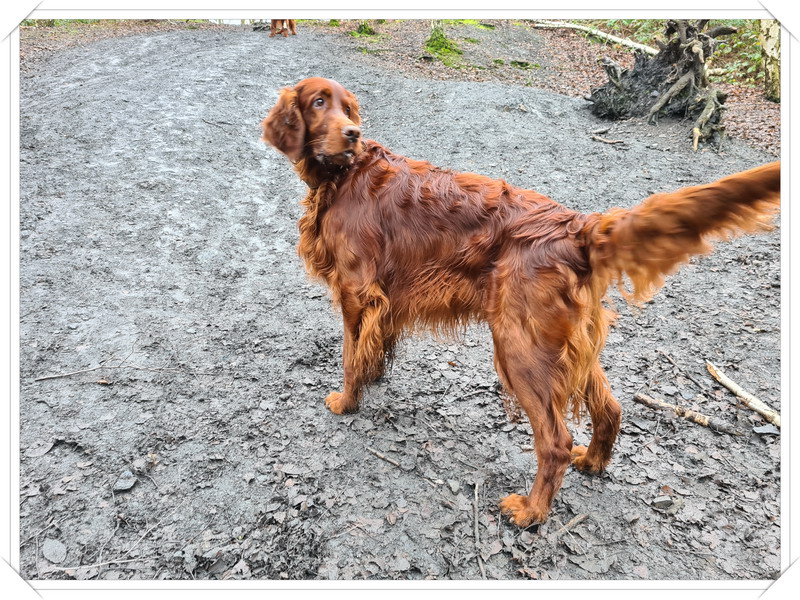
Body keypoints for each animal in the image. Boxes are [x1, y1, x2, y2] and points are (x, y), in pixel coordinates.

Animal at [261, 77, 780, 527]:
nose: (352, 134)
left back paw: (531, 512)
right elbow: (374, 348)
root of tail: (578, 227)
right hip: (565, 343)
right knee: (611, 409)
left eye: (347, 109)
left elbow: (350, 355)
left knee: (555, 440)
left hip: (518, 345)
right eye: (321, 103)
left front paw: (346, 401)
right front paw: (373, 378)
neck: (343, 176)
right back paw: (593, 462)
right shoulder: (384, 299)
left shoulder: (355, 291)